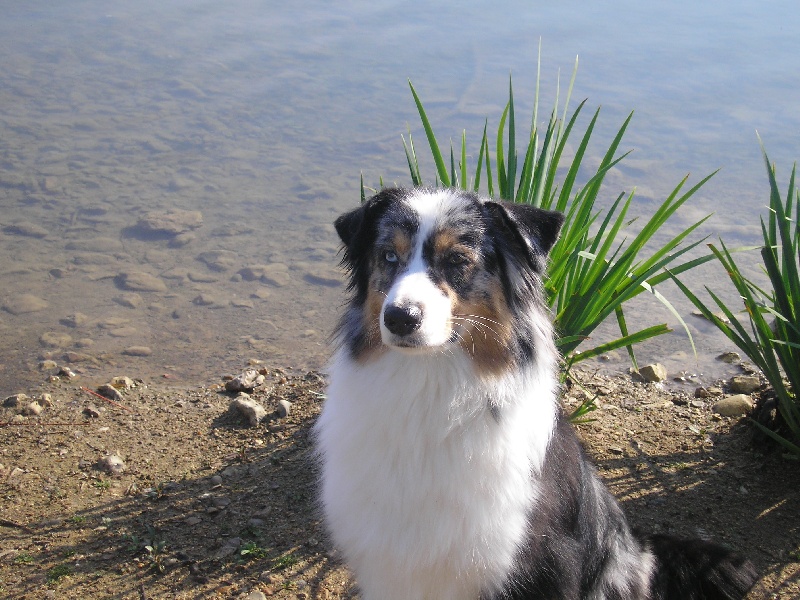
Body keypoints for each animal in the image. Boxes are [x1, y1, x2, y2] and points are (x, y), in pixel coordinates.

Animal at [312, 189, 756, 600]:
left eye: (457, 260)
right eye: (388, 256)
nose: (400, 318)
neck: (429, 389)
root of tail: (639, 544)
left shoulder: (541, 562)